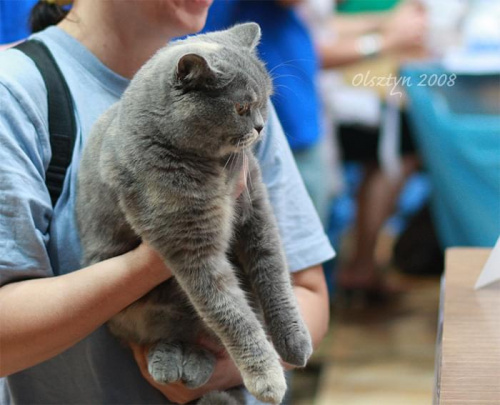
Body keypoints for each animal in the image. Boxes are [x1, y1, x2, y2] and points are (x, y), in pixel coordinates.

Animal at [77, 23, 312, 402]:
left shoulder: (257, 210)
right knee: (166, 333)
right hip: (134, 314)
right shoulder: (190, 245)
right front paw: (267, 378)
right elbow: (229, 311)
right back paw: (169, 363)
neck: (215, 167)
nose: (262, 127)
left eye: (265, 101)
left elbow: (274, 275)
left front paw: (295, 342)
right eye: (242, 107)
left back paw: (194, 366)